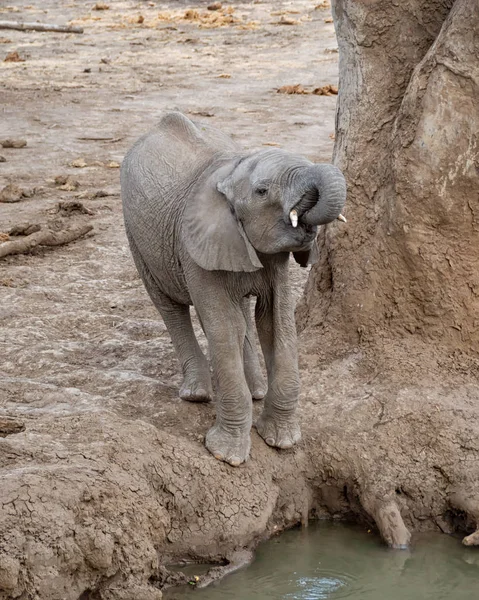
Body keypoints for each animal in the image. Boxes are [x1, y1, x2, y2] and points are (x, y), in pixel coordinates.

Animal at [119, 113, 344, 468]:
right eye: (262, 191)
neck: (232, 171)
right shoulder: (194, 245)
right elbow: (222, 326)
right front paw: (227, 456)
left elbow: (276, 322)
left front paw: (281, 441)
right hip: (136, 234)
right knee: (169, 305)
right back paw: (197, 393)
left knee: (242, 319)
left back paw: (256, 390)